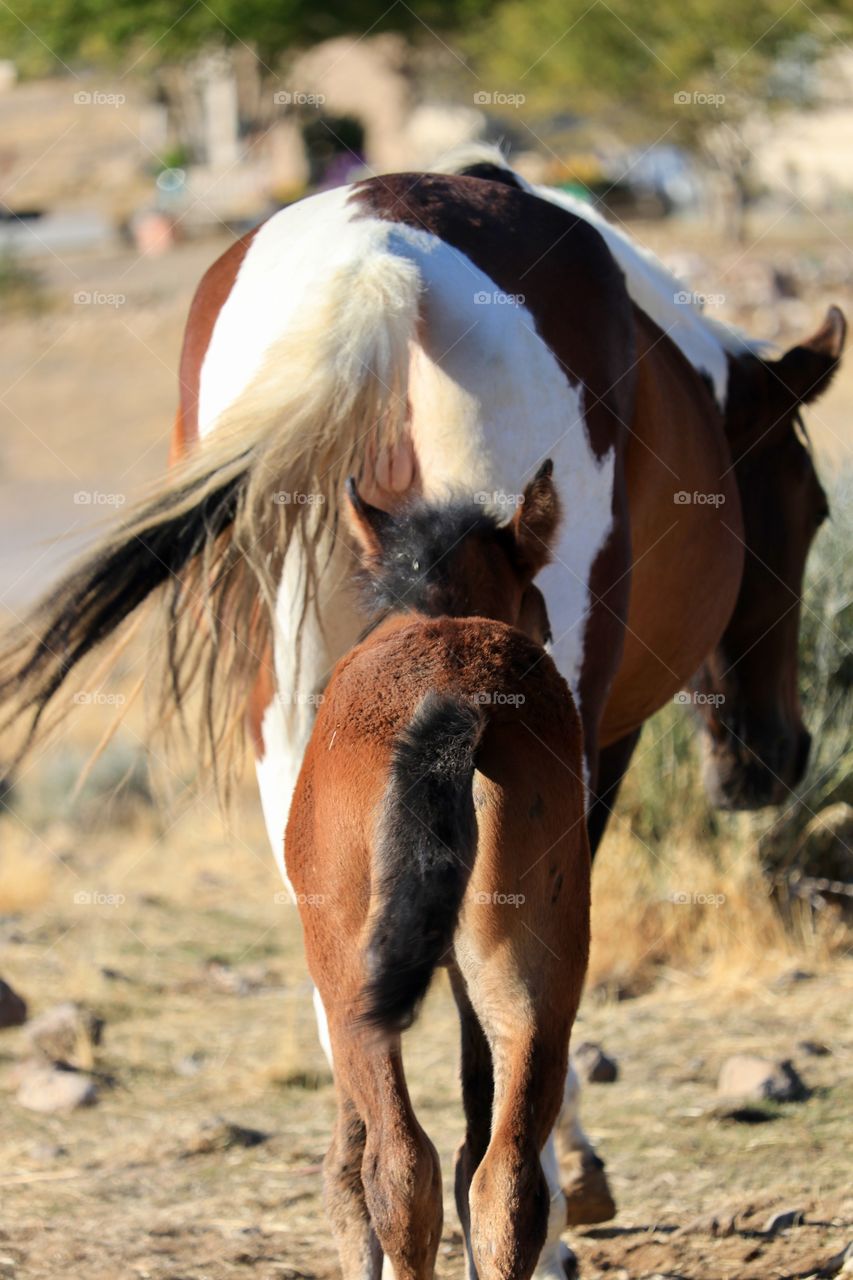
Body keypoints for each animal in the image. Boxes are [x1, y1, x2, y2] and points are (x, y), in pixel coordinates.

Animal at [281, 463, 589, 1280]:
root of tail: (459, 698)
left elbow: (352, 1163)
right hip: (532, 983)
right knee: (504, 1181)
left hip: (354, 986)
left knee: (398, 1169)